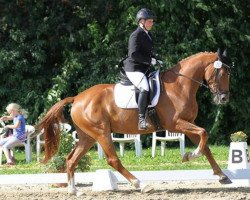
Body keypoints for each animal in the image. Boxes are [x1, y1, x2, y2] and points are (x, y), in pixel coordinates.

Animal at [38, 50, 231, 194]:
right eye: (222, 73)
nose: (223, 99)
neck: (180, 86)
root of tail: (77, 98)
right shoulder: (175, 123)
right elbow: (204, 133)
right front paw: (190, 156)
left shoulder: (188, 123)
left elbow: (205, 145)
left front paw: (222, 176)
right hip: (101, 133)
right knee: (113, 160)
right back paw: (141, 184)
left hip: (88, 137)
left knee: (71, 159)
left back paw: (73, 190)